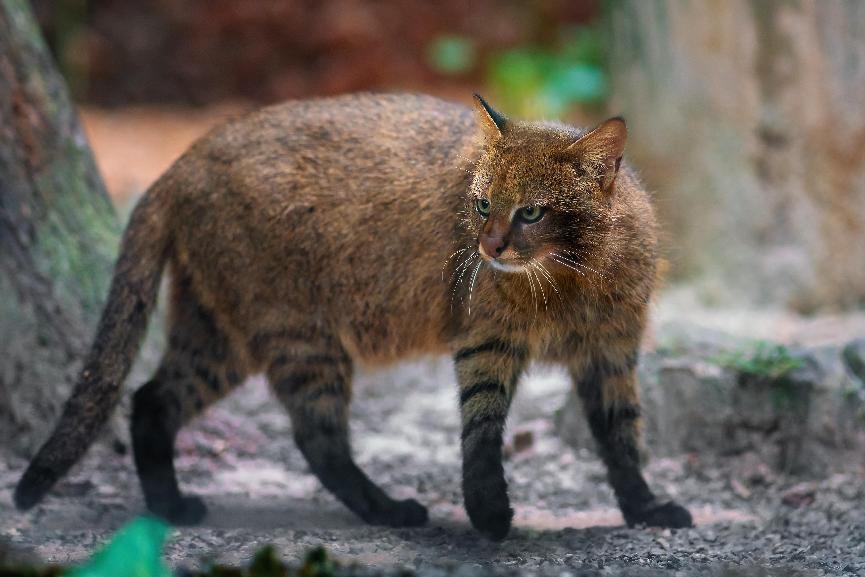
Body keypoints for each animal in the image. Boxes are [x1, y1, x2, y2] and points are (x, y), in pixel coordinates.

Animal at [13, 92, 692, 536]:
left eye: (531, 211)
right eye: (480, 204)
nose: (488, 247)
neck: (569, 281)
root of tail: (183, 161)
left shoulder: (611, 351)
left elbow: (622, 434)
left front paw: (644, 509)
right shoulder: (486, 341)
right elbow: (481, 430)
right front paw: (489, 514)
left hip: (220, 333)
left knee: (153, 399)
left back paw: (169, 507)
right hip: (298, 333)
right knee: (317, 437)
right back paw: (388, 510)